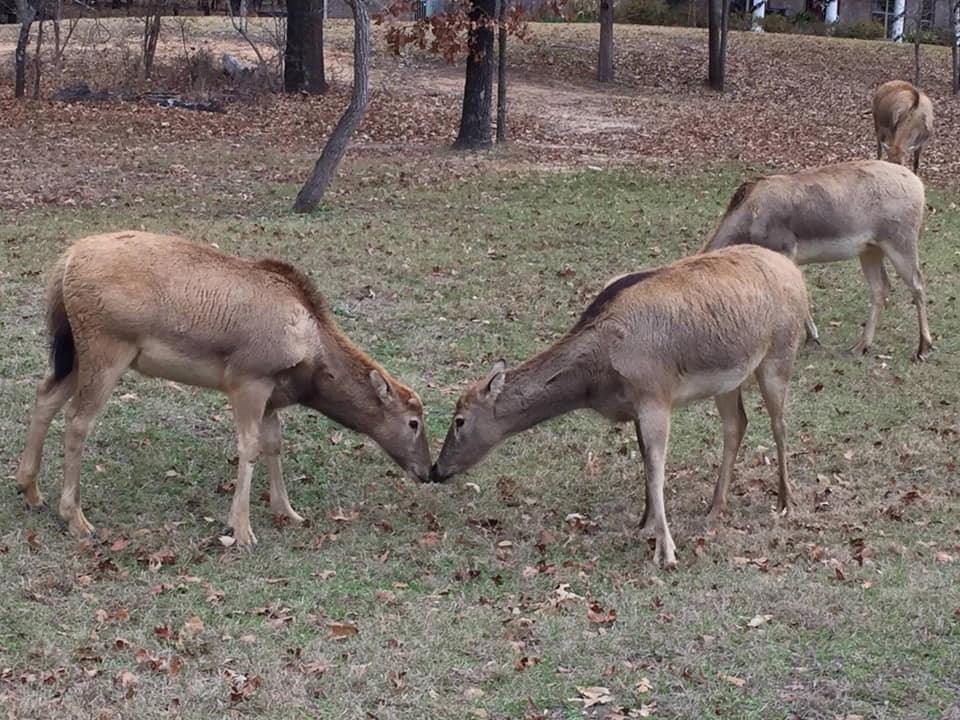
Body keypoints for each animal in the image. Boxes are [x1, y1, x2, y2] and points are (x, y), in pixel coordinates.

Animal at [11, 231, 430, 544]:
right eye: (413, 422)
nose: (428, 471)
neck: (311, 359)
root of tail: (65, 263)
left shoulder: (272, 395)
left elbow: (274, 444)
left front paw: (288, 511)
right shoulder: (248, 378)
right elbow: (249, 447)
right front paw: (241, 529)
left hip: (73, 350)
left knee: (45, 394)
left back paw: (30, 489)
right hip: (106, 346)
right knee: (78, 419)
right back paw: (75, 517)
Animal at [428, 246, 808, 568]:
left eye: (460, 420)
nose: (435, 469)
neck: (599, 378)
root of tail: (795, 271)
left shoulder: (655, 396)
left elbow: (656, 468)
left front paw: (666, 553)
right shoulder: (636, 407)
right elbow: (645, 463)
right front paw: (644, 524)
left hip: (780, 354)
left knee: (779, 424)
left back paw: (786, 503)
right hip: (728, 380)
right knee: (737, 424)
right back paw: (715, 508)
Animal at [700, 158, 932, 360]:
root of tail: (919, 187)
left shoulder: (785, 249)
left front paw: (812, 336)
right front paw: (812, 337)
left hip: (900, 240)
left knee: (917, 283)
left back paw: (923, 348)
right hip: (870, 250)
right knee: (881, 287)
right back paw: (860, 347)